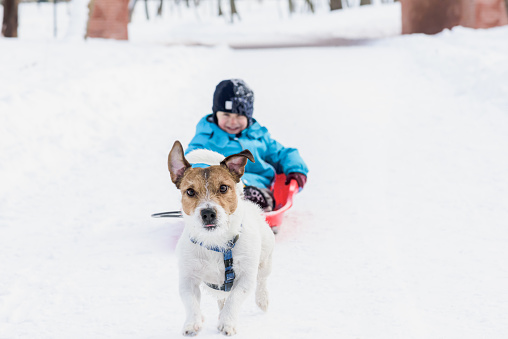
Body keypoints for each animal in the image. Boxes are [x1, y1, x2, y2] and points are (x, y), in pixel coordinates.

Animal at [168, 141, 276, 338]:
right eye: (190, 191)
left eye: (224, 188)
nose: (208, 213)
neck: (215, 242)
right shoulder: (188, 278)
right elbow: (190, 301)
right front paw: (193, 322)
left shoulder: (246, 277)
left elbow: (235, 298)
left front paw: (227, 323)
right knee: (221, 299)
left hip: (265, 260)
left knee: (262, 280)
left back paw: (262, 300)